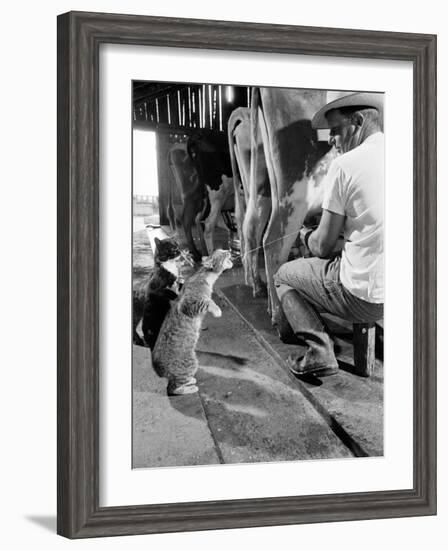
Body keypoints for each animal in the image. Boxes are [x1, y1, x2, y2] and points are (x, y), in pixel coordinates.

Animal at [152, 250, 233, 396]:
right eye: (222, 253)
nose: (229, 250)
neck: (204, 276)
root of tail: (157, 370)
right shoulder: (189, 303)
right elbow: (208, 302)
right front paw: (217, 310)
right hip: (190, 363)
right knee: (174, 389)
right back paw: (191, 387)